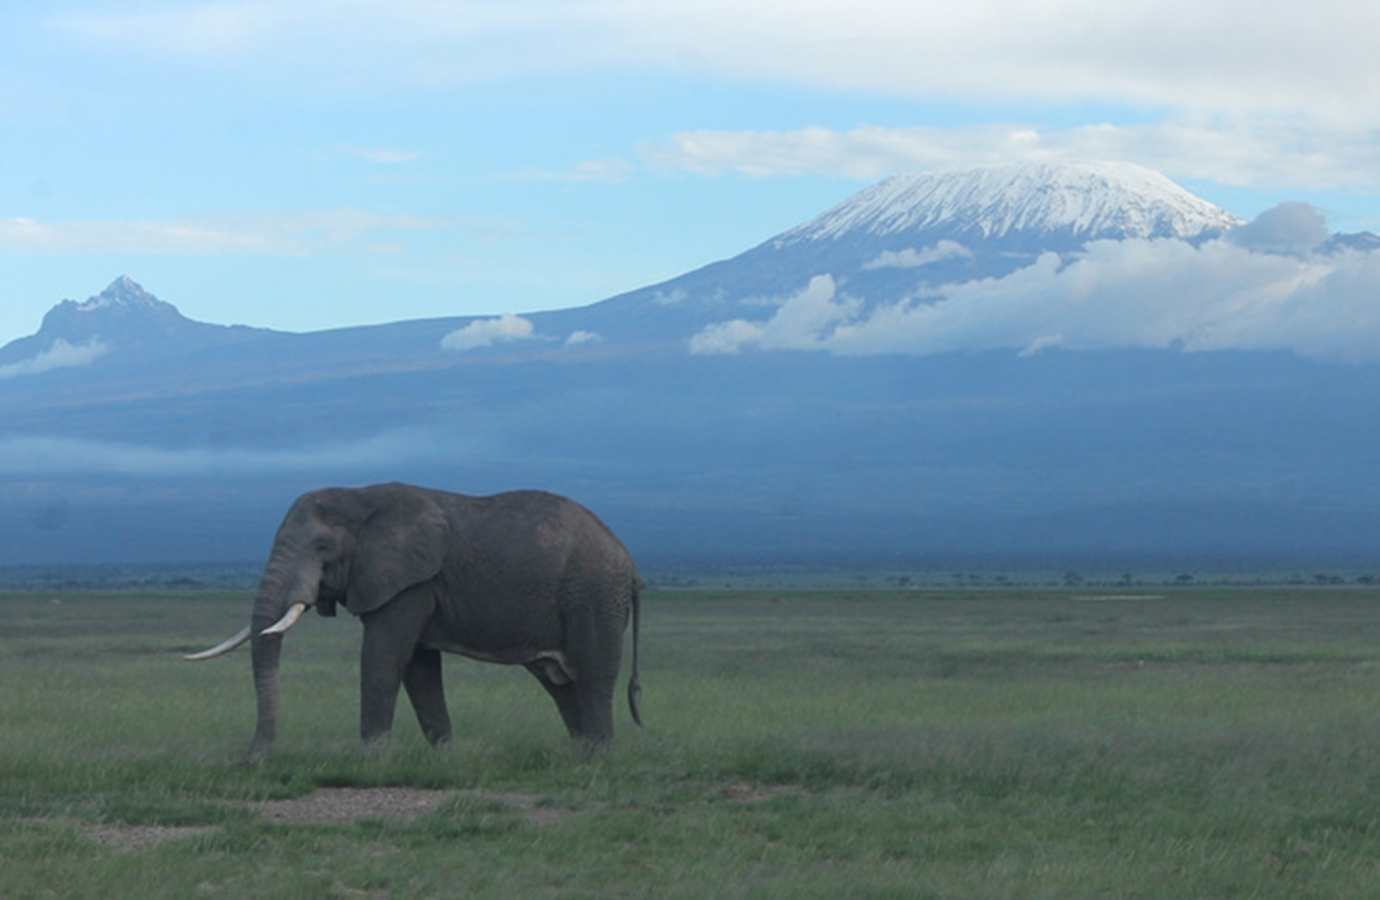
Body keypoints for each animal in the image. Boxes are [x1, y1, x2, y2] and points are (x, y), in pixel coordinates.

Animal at [186, 480, 643, 761]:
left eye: (321, 548)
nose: (251, 760)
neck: (358, 498)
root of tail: (631, 562)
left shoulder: (408, 583)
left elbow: (383, 658)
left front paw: (371, 758)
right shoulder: (414, 587)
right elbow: (419, 668)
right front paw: (446, 757)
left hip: (593, 597)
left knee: (592, 676)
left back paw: (599, 758)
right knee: (559, 682)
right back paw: (581, 754)